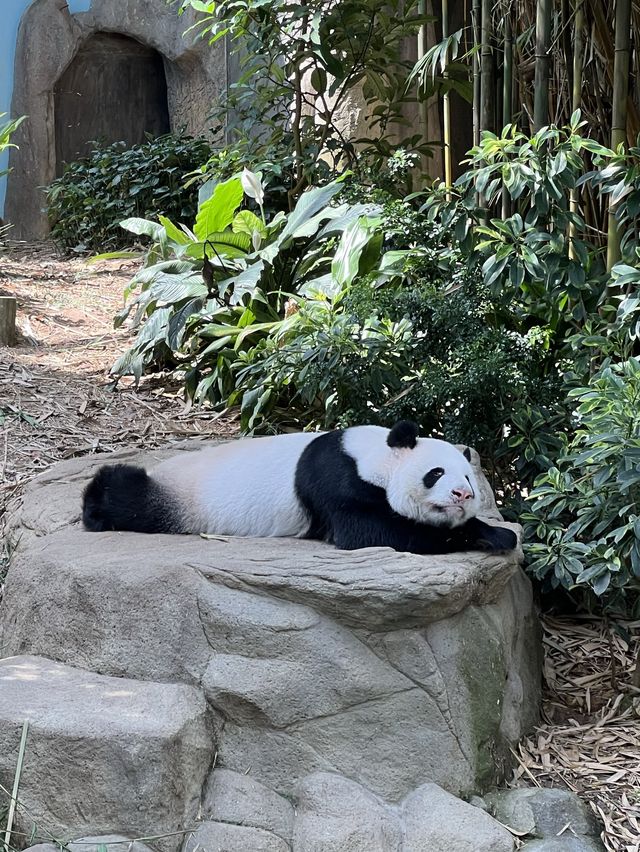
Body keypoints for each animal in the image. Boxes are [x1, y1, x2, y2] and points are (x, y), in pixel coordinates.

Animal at [81, 422, 520, 556]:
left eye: (468, 478)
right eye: (436, 473)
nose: (462, 496)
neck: (374, 456)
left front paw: (493, 532)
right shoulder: (336, 481)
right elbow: (370, 531)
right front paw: (487, 535)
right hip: (182, 497)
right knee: (133, 498)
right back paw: (96, 504)